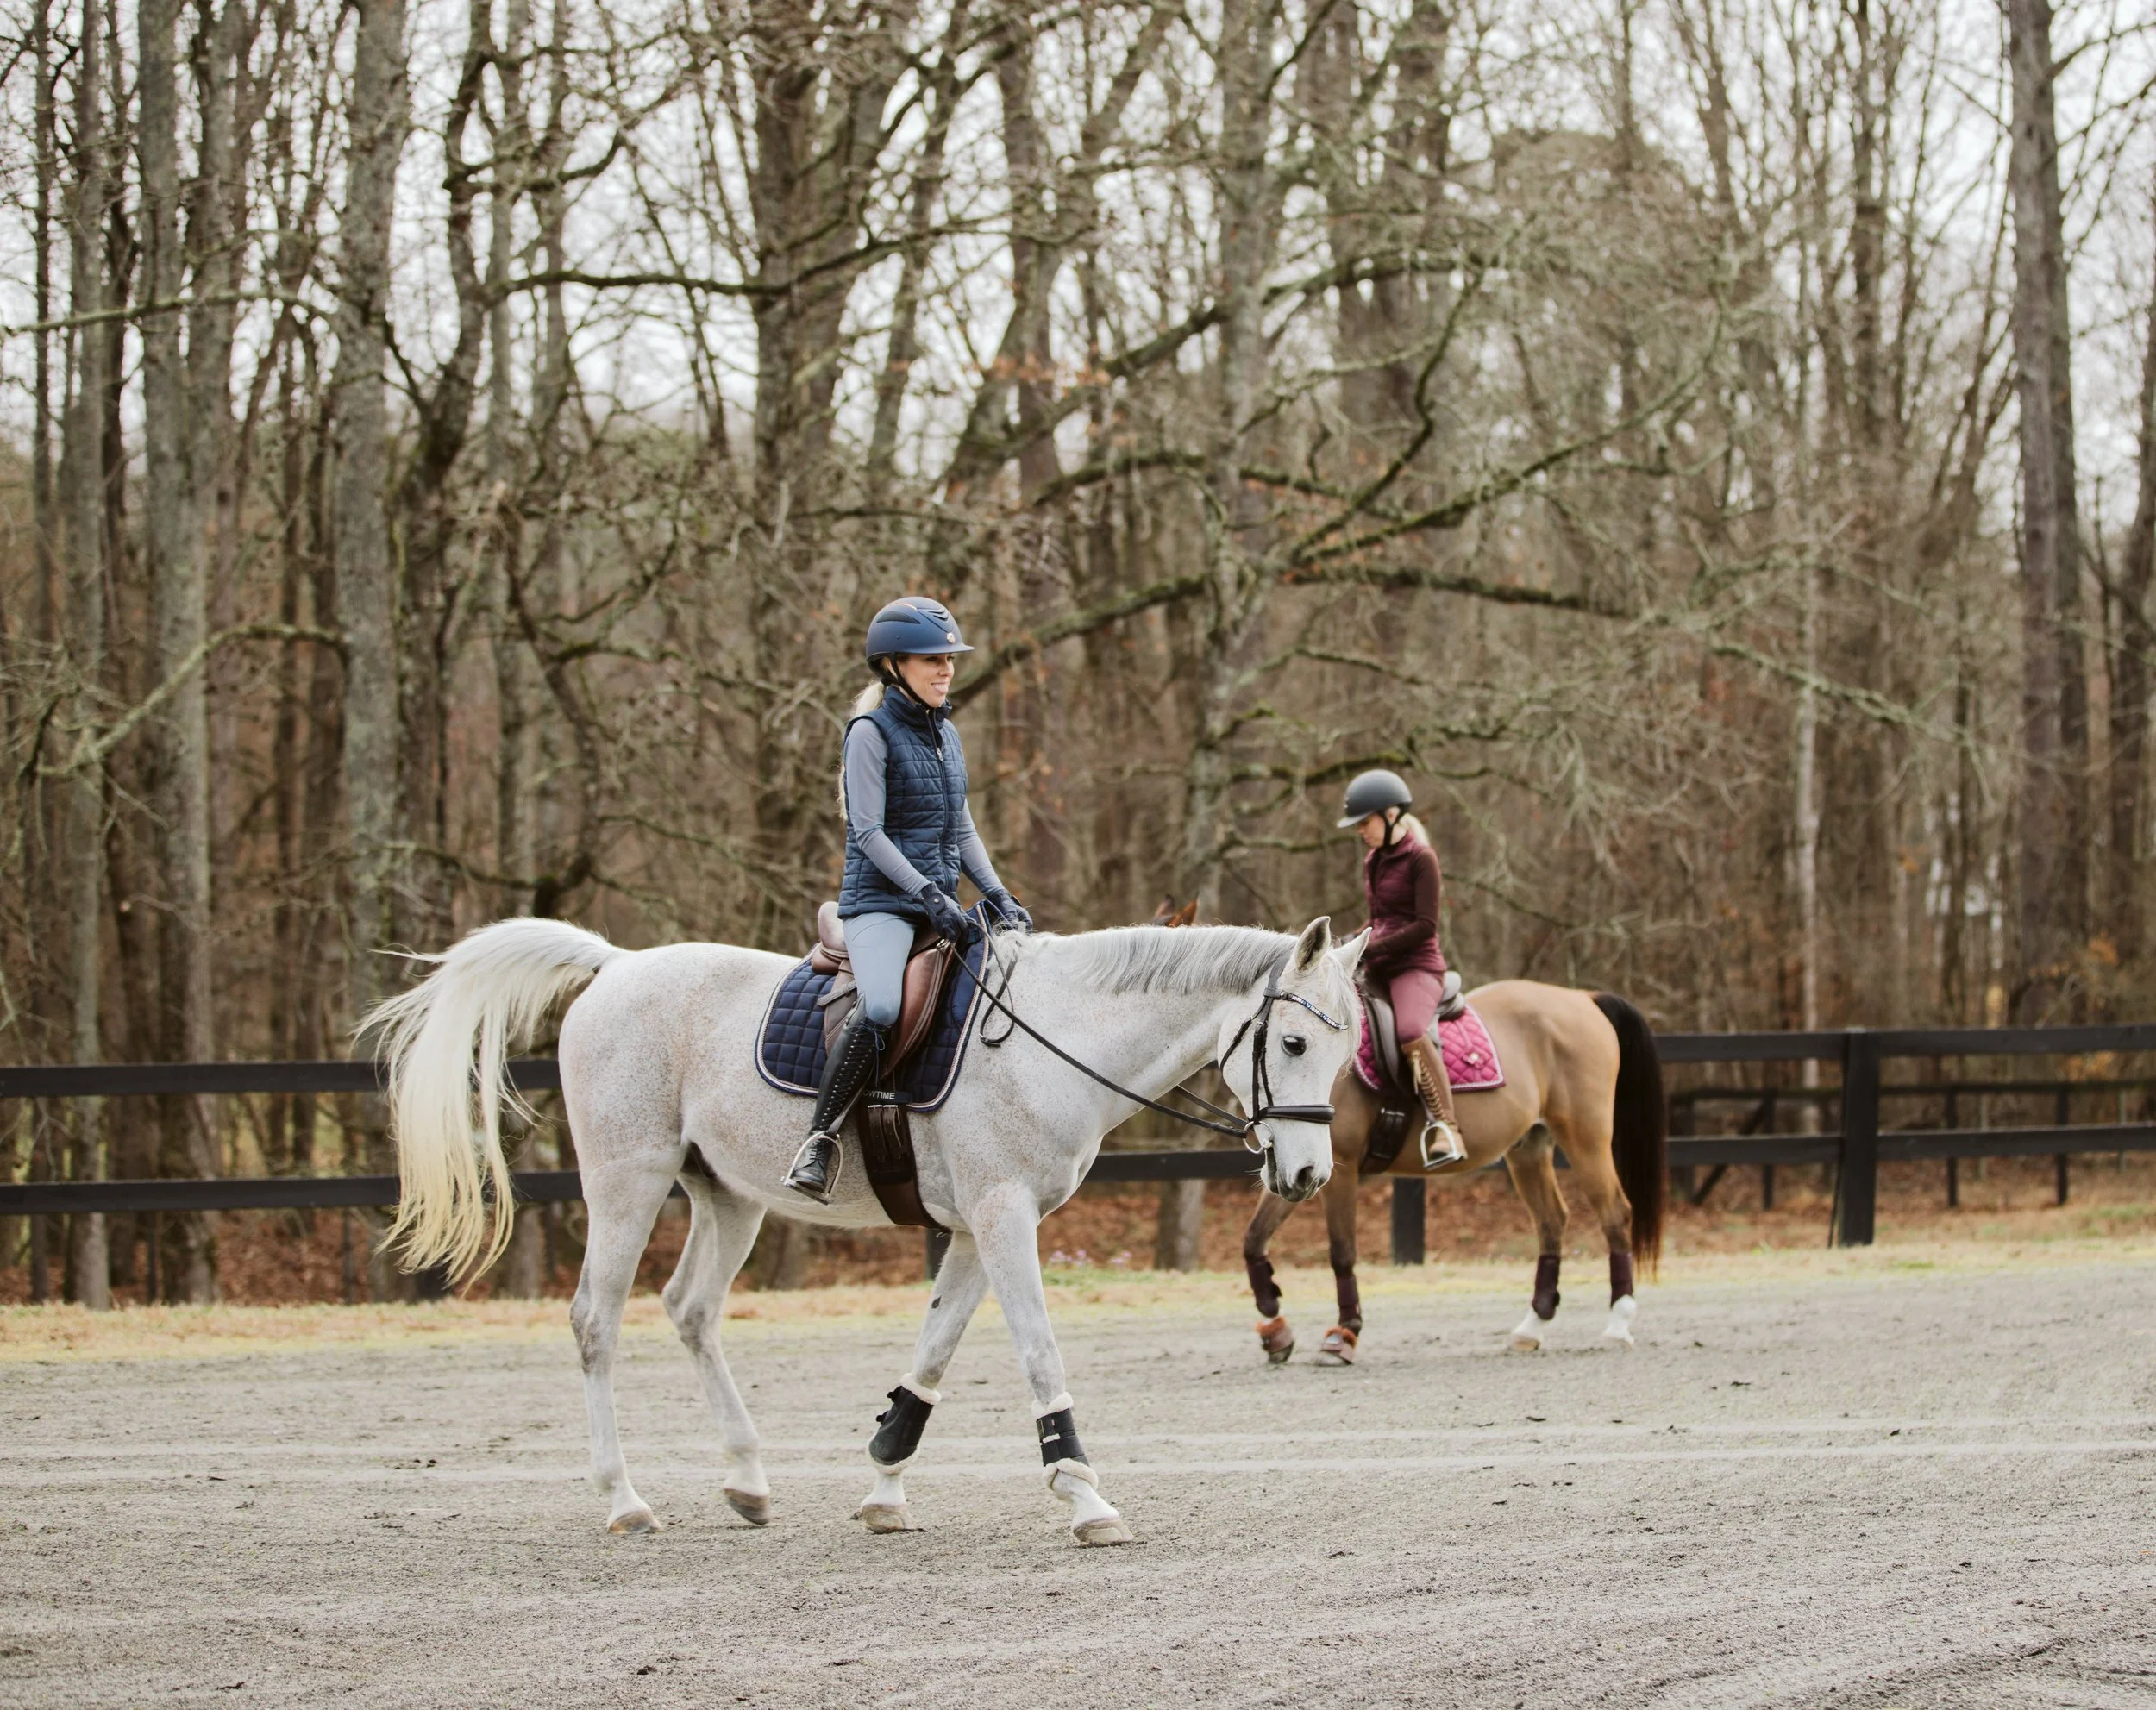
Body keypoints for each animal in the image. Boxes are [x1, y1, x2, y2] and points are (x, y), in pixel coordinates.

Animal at [367, 912, 1367, 1545]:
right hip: (628, 1181)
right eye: (1289, 1044)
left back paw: (747, 1478)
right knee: (595, 1322)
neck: (1051, 1041)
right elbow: (1038, 1351)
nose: (1308, 1177)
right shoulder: (1003, 1217)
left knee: (690, 1309)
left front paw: (886, 1480)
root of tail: (616, 967)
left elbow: (931, 1354)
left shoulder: (975, 1227)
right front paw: (1083, 1494)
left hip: (727, 1195)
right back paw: (624, 1499)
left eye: (1342, 1052)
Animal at [1241, 982, 1667, 1363]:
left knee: (1615, 1214)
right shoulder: (1296, 1169)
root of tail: (1581, 998)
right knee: (1552, 1221)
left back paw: (1617, 1325)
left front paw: (1343, 1334)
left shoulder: (1337, 1170)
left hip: (1586, 1139)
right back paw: (1532, 1327)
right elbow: (1254, 1239)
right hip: (1530, 1148)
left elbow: (1342, 1252)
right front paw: (1276, 1329)